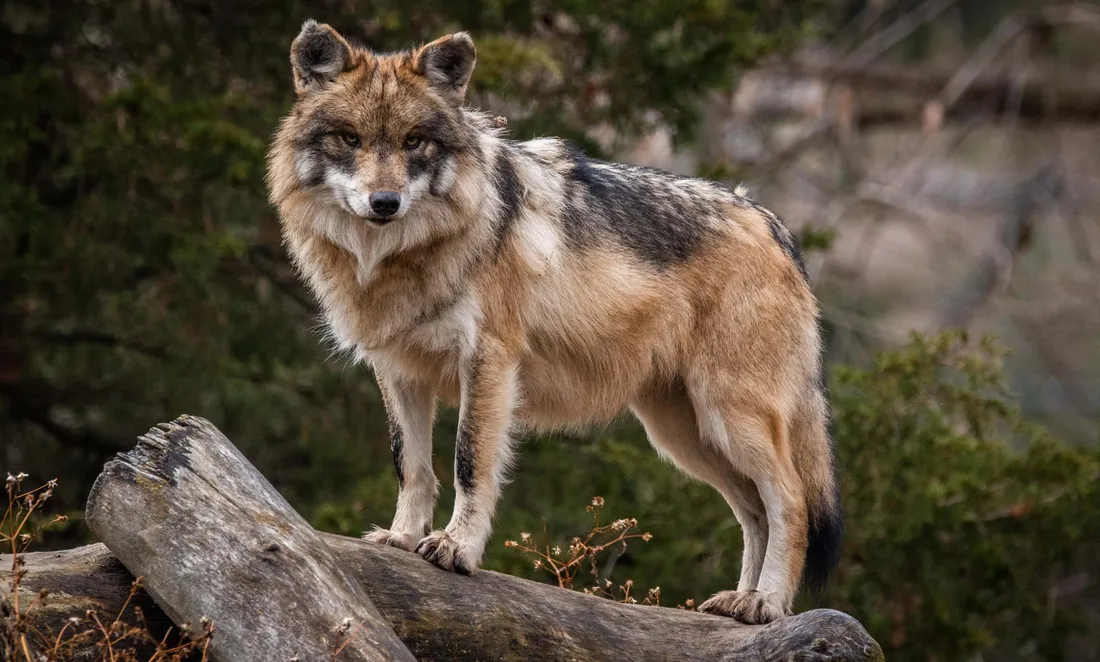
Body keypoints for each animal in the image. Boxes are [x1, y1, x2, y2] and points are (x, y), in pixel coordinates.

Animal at [266, 20, 843, 624]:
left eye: (414, 142)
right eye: (350, 139)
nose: (385, 202)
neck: (399, 256)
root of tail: (773, 222)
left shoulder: (489, 359)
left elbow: (469, 462)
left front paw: (456, 547)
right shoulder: (399, 371)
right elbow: (413, 467)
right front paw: (401, 540)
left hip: (730, 415)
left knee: (791, 501)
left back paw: (767, 603)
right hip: (686, 434)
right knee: (754, 512)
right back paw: (739, 603)